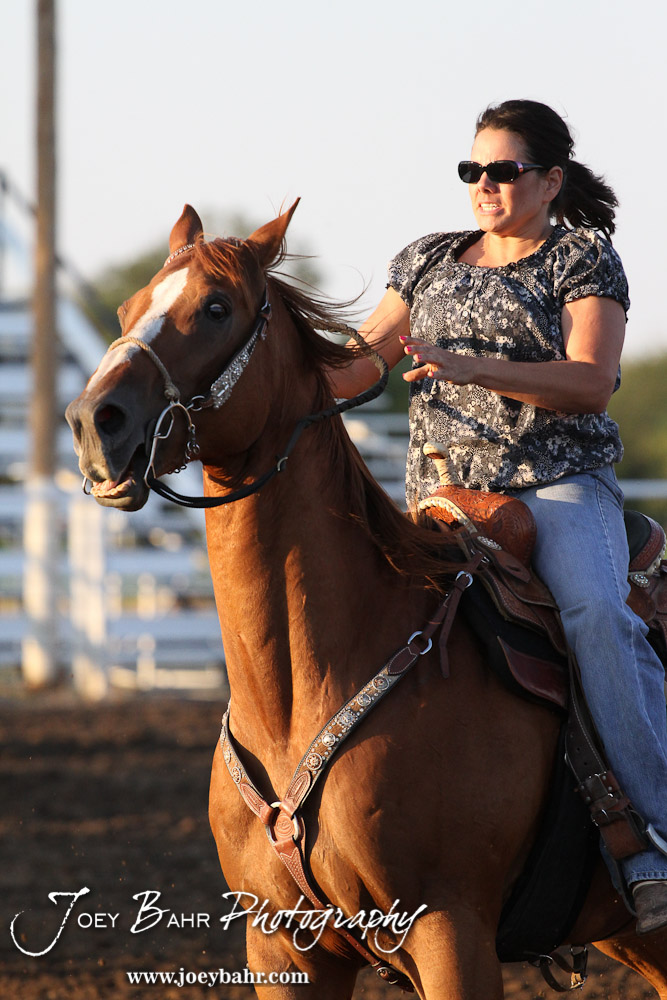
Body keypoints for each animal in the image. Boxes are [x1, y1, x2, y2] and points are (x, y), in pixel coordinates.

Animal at [65, 202, 667, 999]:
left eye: (216, 307)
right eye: (129, 308)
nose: (92, 421)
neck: (306, 687)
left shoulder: (451, 933)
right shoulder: (283, 948)